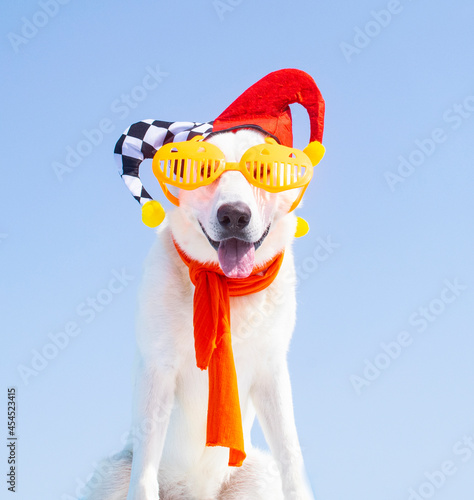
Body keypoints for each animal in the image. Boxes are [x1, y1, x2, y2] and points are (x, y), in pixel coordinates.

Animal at [83, 69, 324, 500]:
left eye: (265, 171)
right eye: (199, 169)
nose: (234, 215)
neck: (226, 290)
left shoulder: (272, 372)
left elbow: (292, 458)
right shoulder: (158, 373)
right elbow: (144, 472)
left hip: (256, 477)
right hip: (111, 474)